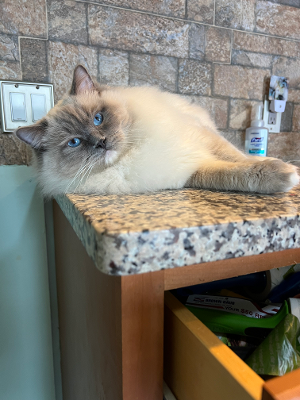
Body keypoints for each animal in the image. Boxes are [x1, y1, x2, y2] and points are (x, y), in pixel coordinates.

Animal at [15, 65, 298, 198]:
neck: (133, 153)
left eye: (98, 118)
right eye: (74, 142)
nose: (101, 142)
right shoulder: (191, 171)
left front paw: (285, 169)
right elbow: (233, 174)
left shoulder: (204, 140)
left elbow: (241, 160)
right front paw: (285, 176)